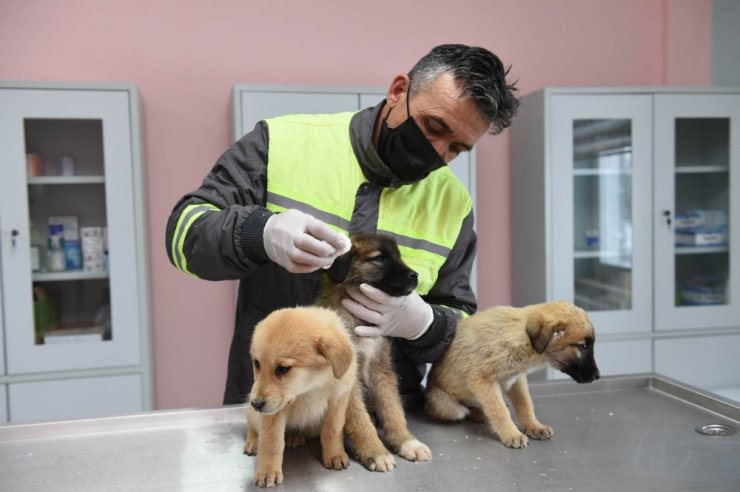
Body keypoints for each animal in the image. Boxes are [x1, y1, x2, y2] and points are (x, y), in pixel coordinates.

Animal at [244, 308, 356, 488]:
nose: (255, 403)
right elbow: (271, 442)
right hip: (254, 416)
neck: (310, 388)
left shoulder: (338, 400)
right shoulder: (274, 412)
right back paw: (253, 441)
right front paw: (267, 471)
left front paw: (335, 455)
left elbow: (332, 431)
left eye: (283, 369)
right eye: (257, 363)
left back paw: (295, 436)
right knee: (251, 424)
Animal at [318, 234, 434, 472]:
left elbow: (393, 410)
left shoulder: (381, 370)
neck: (359, 320)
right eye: (380, 258)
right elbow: (360, 421)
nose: (415, 275)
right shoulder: (347, 380)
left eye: (399, 256)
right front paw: (375, 452)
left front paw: (407, 441)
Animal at [422, 302, 600, 448]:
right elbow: (499, 410)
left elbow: (525, 404)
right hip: (448, 406)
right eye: (583, 347)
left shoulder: (516, 379)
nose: (598, 376)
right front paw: (511, 434)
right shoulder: (482, 378)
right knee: (464, 411)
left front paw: (534, 427)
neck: (522, 336)